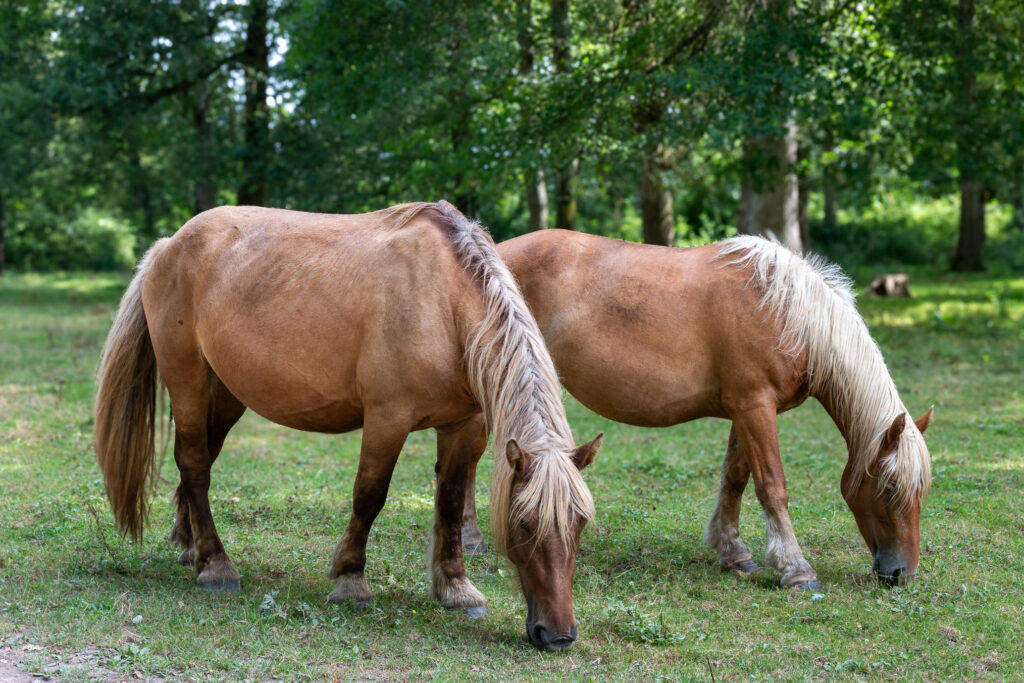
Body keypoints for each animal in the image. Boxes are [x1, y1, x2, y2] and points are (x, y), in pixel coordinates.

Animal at [93, 202, 601, 651]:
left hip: (225, 393)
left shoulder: (465, 427)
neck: (443, 302)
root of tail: (169, 245)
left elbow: (452, 504)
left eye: (580, 522)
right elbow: (369, 496)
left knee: (197, 462)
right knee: (195, 463)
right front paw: (351, 580)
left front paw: (457, 589)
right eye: (523, 524)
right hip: (188, 382)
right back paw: (216, 565)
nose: (558, 636)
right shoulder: (387, 419)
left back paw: (190, 545)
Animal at [457, 230, 932, 591]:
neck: (787, 312)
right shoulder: (755, 407)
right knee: (470, 458)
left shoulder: (748, 410)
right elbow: (772, 486)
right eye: (891, 487)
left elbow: (735, 478)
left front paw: (733, 551)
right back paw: (469, 537)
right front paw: (796, 569)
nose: (900, 573)